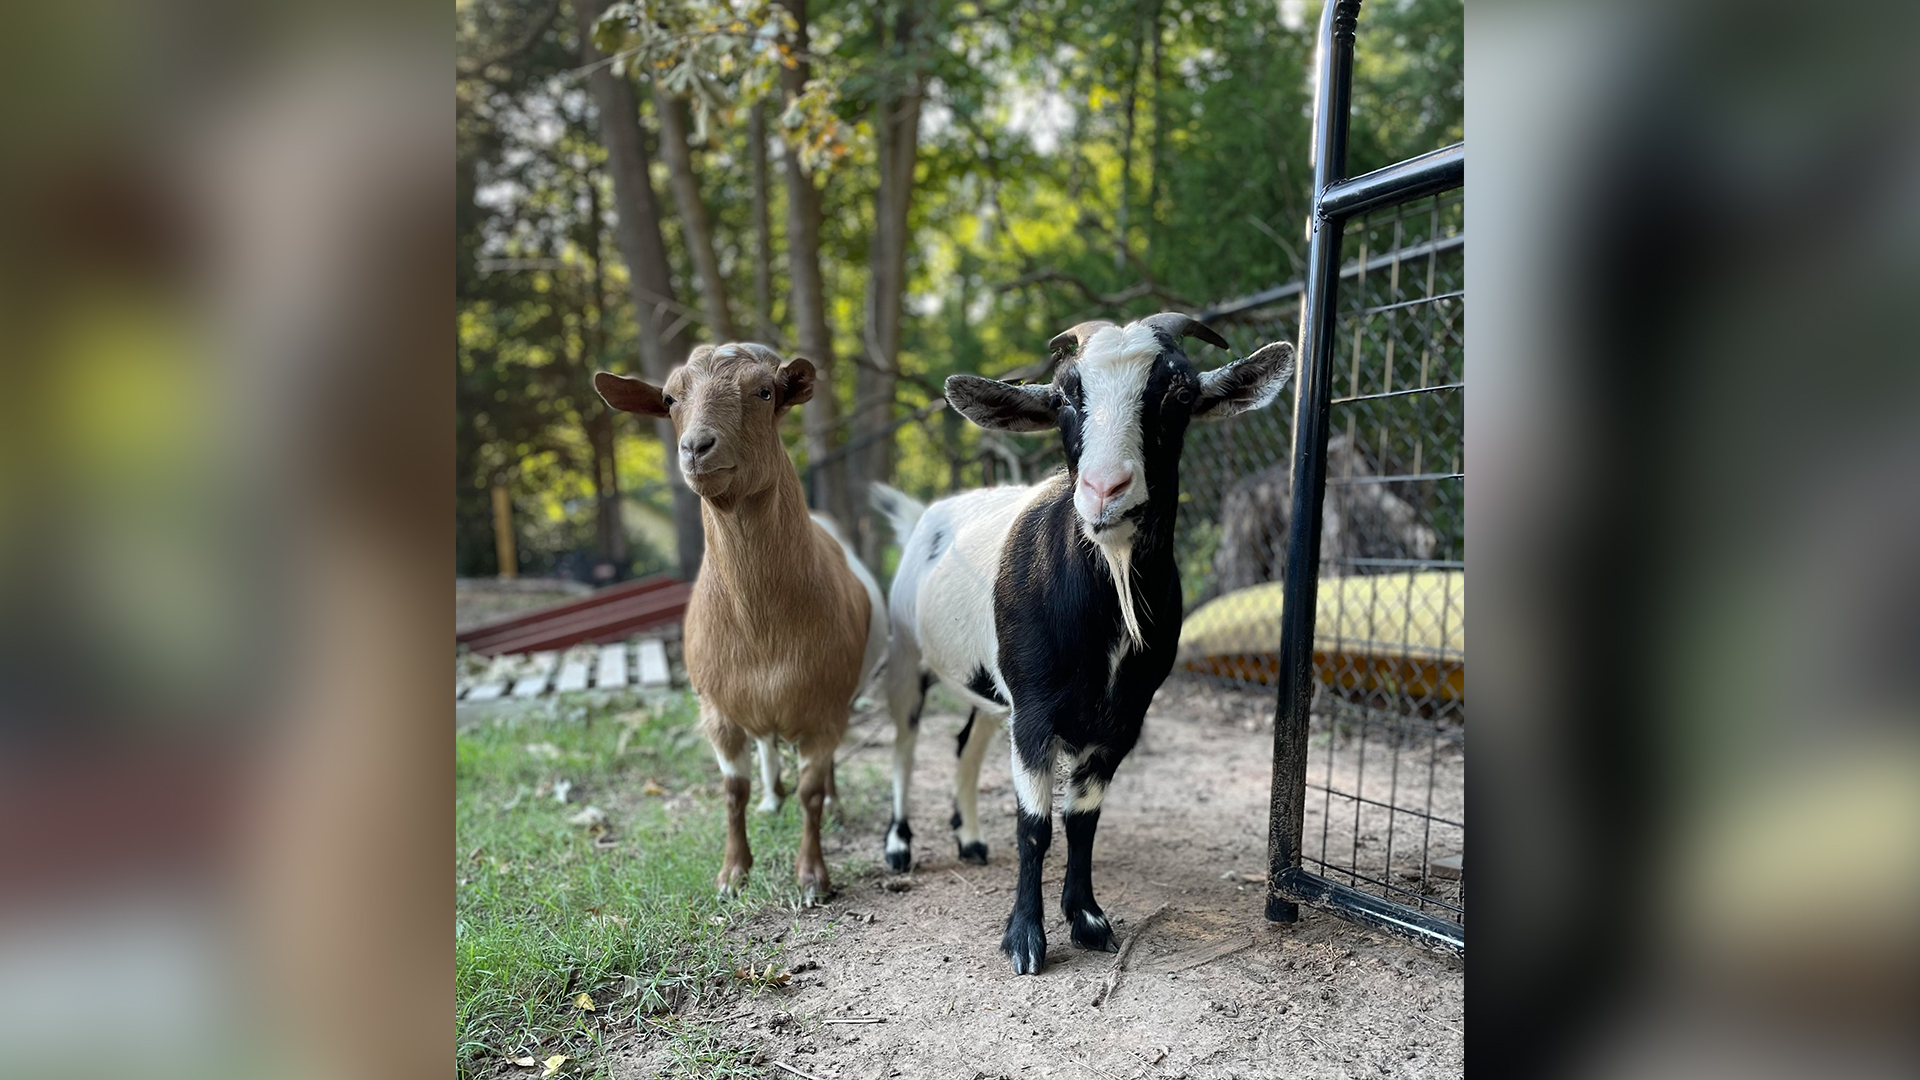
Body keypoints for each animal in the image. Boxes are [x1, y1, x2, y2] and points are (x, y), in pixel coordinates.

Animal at [591, 343, 883, 891]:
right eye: (669, 398)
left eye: (765, 392)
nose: (696, 447)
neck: (762, 628)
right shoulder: (717, 712)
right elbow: (732, 791)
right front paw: (732, 873)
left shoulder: (825, 708)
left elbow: (812, 790)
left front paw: (811, 877)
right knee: (766, 746)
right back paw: (772, 799)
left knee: (823, 769)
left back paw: (832, 806)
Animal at [875, 313, 1297, 976]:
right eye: (1063, 397)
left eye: (1179, 394)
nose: (1105, 489)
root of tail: (924, 515)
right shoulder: (1036, 711)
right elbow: (1035, 825)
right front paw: (1025, 940)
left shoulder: (1120, 718)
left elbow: (1082, 821)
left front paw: (1088, 919)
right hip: (906, 656)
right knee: (903, 744)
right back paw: (898, 846)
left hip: (993, 688)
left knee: (967, 743)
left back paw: (970, 840)